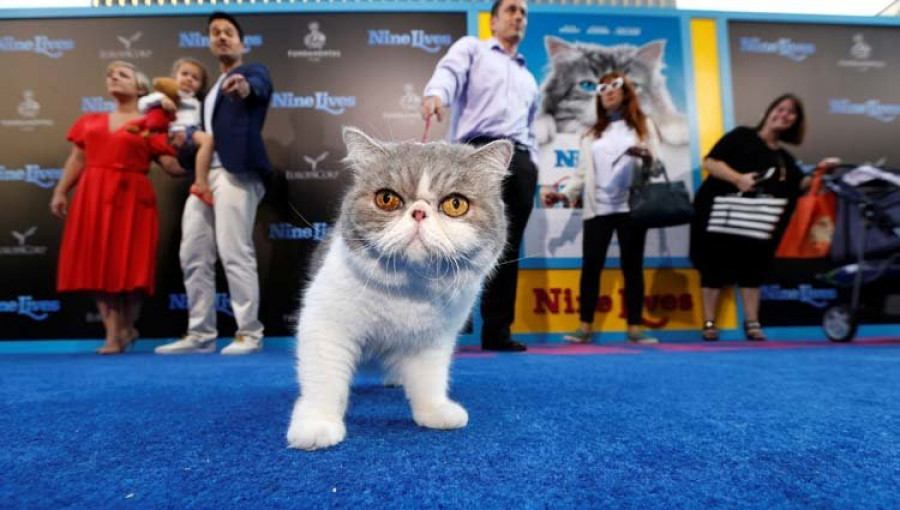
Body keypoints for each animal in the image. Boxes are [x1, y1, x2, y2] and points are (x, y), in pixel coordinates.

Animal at [288, 127, 512, 450]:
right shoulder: (326, 326)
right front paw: (316, 425)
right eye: (387, 199)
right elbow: (324, 379)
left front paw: (435, 411)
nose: (419, 212)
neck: (407, 292)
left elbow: (429, 378)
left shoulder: (433, 339)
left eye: (455, 204)